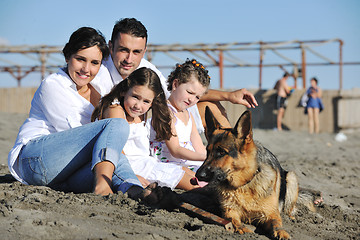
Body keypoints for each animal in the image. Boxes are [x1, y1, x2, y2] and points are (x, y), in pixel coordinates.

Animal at [194, 107, 318, 240]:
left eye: (222, 152)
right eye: (208, 151)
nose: (198, 175)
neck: (244, 184)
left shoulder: (270, 214)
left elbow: (277, 223)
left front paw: (281, 232)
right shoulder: (230, 211)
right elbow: (233, 220)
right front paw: (241, 228)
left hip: (291, 177)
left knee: (289, 209)